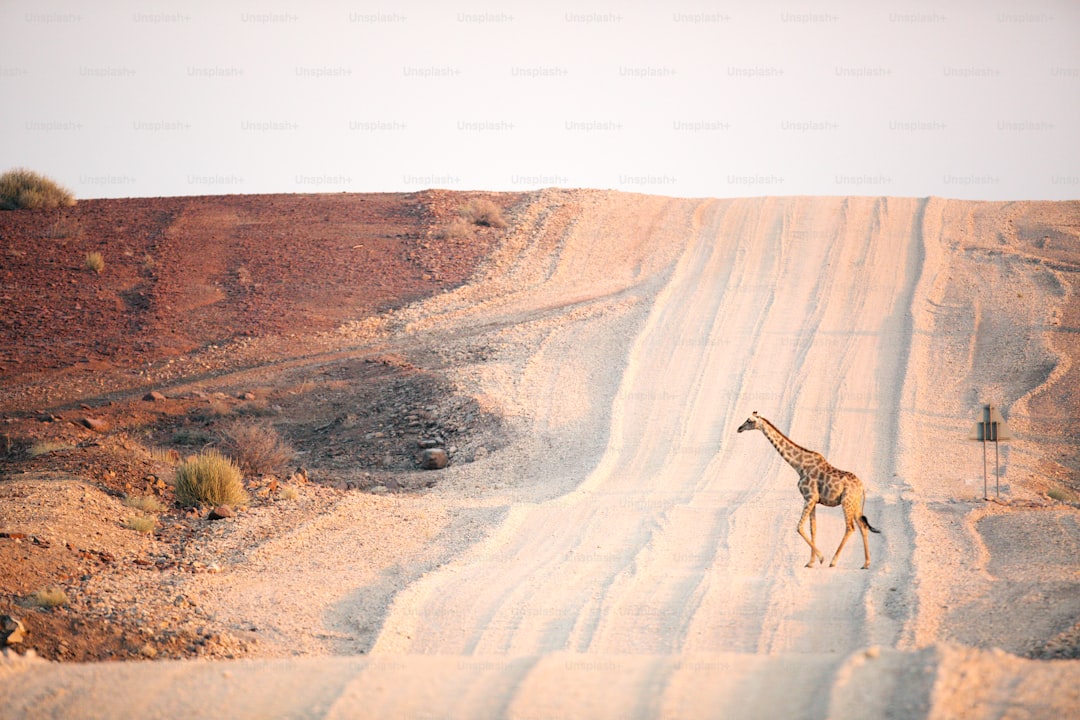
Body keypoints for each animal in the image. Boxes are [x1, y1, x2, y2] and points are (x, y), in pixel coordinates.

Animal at [737, 411, 881, 569]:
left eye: (749, 421)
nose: (739, 428)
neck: (799, 465)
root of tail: (862, 487)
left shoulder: (810, 497)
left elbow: (799, 527)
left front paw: (821, 558)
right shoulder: (813, 500)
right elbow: (813, 529)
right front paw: (811, 562)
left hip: (846, 502)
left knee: (850, 527)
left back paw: (833, 561)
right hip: (855, 505)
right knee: (863, 526)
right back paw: (866, 563)